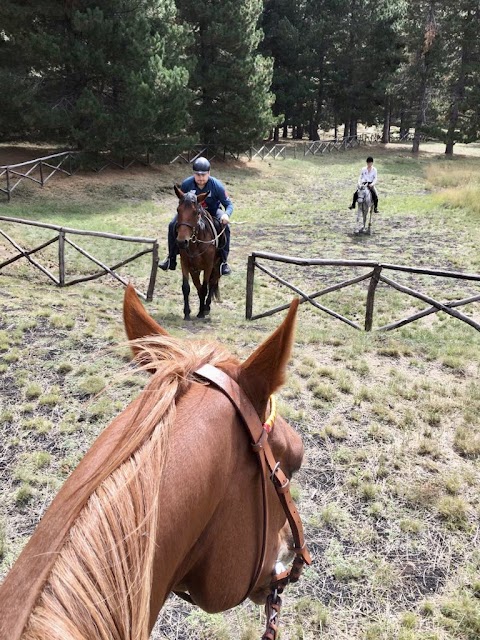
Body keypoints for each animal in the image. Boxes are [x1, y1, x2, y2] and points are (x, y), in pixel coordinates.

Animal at [174, 184, 223, 320]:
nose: (181, 242)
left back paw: (206, 307)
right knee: (199, 286)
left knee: (212, 283)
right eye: (178, 210)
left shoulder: (208, 266)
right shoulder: (185, 264)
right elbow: (186, 287)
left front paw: (201, 312)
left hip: (217, 266)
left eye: (196, 212)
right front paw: (186, 312)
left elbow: (205, 287)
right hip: (195, 270)